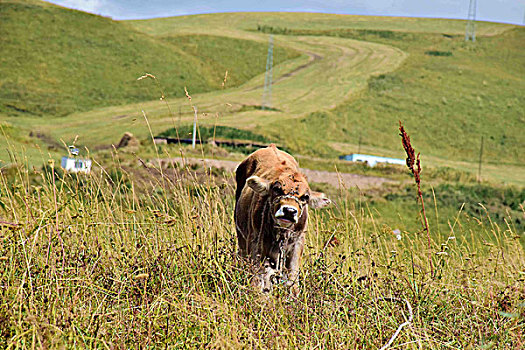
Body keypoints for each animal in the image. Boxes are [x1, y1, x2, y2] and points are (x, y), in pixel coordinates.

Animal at [234, 144, 330, 292]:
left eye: (305, 197)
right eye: (277, 189)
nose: (289, 211)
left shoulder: (297, 243)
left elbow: (292, 277)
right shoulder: (255, 241)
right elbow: (257, 276)